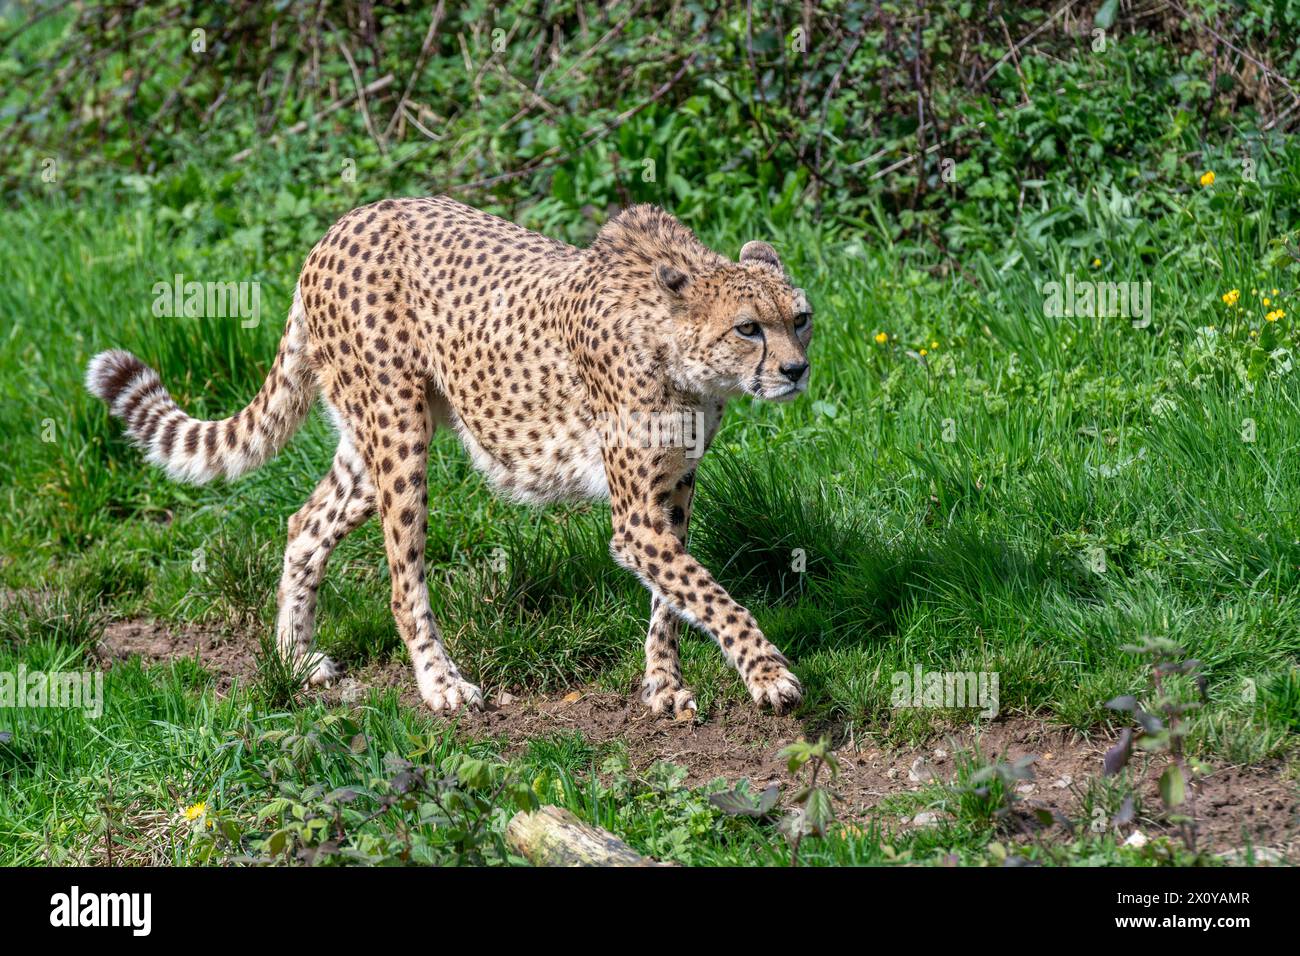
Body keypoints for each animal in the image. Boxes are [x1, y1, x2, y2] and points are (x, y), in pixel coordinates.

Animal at [86, 196, 813, 717]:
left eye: (799, 318)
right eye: (749, 327)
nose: (798, 369)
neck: (683, 356)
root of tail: (344, 222)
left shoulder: (672, 490)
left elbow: (674, 595)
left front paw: (663, 684)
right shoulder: (635, 518)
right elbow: (708, 592)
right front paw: (767, 672)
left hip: (368, 443)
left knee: (304, 523)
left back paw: (294, 660)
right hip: (398, 432)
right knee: (403, 582)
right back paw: (440, 684)